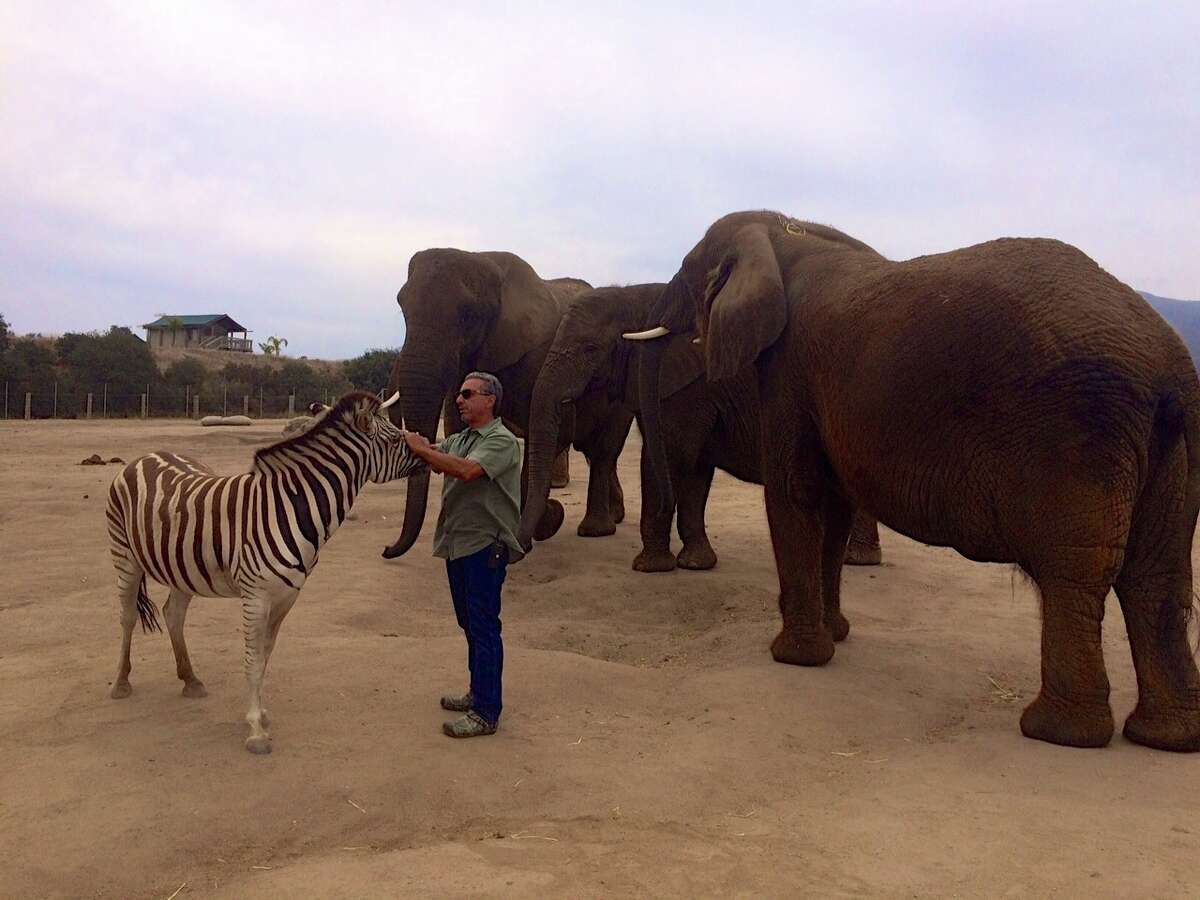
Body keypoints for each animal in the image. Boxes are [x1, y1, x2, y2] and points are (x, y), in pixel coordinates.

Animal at [106, 391, 427, 748]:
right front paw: (256, 731)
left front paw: (259, 714)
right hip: (125, 557)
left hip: (181, 566)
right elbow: (252, 658)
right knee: (127, 617)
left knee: (173, 614)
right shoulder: (256, 595)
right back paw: (121, 683)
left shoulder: (287, 595)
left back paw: (190, 680)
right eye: (397, 439)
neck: (289, 507)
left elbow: (265, 655)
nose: (429, 453)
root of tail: (146, 455)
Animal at [384, 247, 628, 556]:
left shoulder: (540, 356)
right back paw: (613, 518)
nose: (387, 549)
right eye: (402, 306)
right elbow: (457, 428)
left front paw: (547, 521)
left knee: (603, 450)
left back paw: (596, 530)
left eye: (469, 315)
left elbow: (554, 432)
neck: (487, 262)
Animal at [518, 285, 883, 571]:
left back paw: (857, 560)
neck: (637, 294)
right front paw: (696, 563)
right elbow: (695, 470)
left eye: (590, 349)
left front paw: (650, 568)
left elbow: (669, 458)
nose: (556, 510)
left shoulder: (690, 388)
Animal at [628, 211, 1200, 753]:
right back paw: (1167, 737)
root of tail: (1173, 366)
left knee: (1076, 573)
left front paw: (794, 658)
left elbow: (796, 493)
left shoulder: (790, 371)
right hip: (1167, 449)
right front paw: (835, 636)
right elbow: (833, 507)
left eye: (687, 271)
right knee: (1157, 577)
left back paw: (1055, 732)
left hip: (1077, 430)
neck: (786, 230)